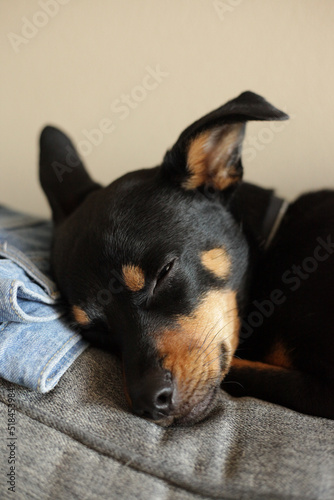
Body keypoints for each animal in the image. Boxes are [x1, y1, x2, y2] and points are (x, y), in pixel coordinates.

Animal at [38, 92, 334, 424]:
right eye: (93, 331)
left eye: (164, 272)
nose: (149, 403)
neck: (273, 244)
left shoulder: (322, 388)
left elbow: (240, 369)